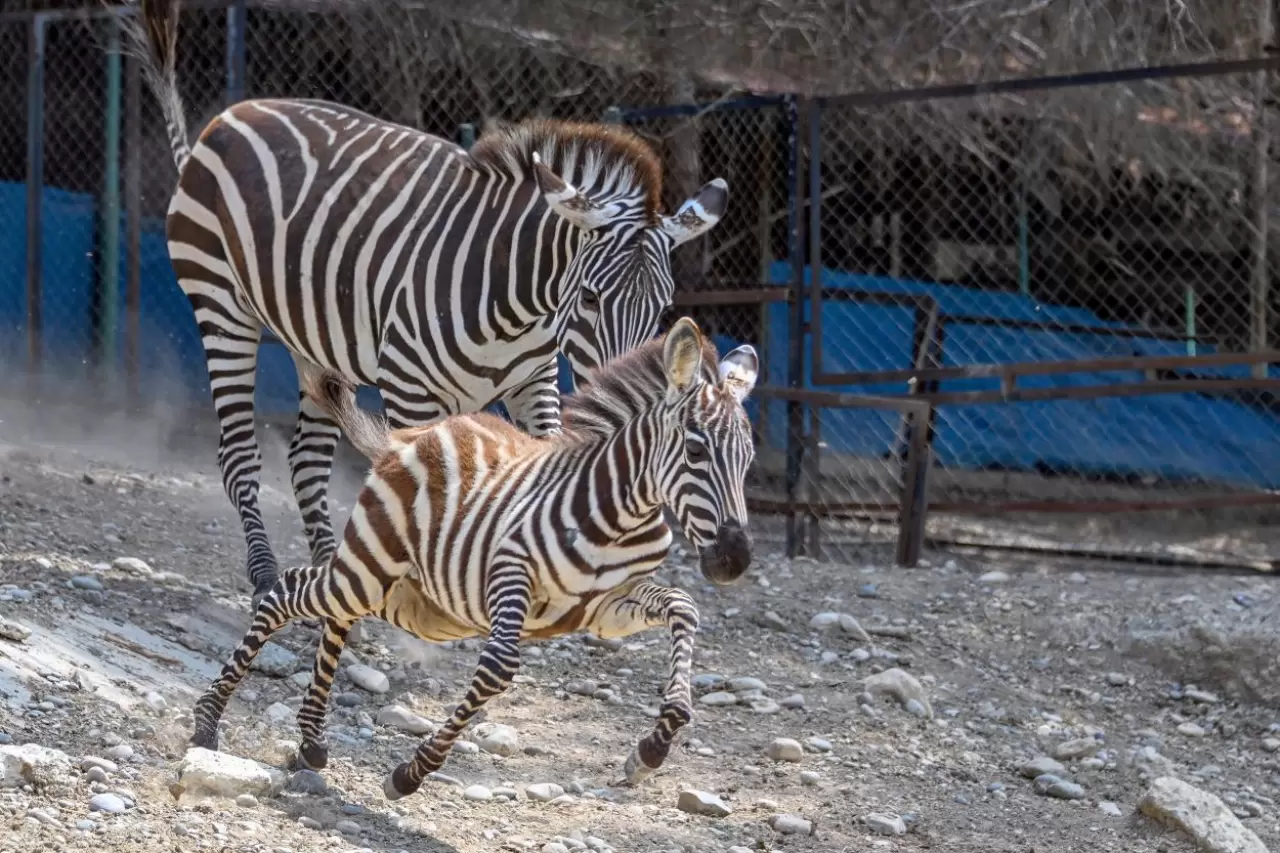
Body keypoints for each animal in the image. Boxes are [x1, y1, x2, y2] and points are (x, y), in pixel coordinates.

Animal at [126, 0, 730, 606]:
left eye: (662, 309)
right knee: (239, 457)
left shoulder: (535, 384)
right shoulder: (410, 389)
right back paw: (268, 576)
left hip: (316, 339)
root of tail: (232, 115)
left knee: (307, 464)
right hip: (221, 305)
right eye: (587, 297)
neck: (517, 303)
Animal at [186, 316, 759, 798]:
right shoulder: (510, 573)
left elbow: (685, 607)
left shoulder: (606, 607)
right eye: (696, 451)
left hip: (411, 598)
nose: (733, 561)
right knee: (286, 593)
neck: (620, 514)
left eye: (748, 459)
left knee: (331, 610)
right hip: (375, 568)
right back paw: (209, 722)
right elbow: (499, 667)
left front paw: (652, 749)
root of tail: (412, 434)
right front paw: (410, 772)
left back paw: (309, 742)